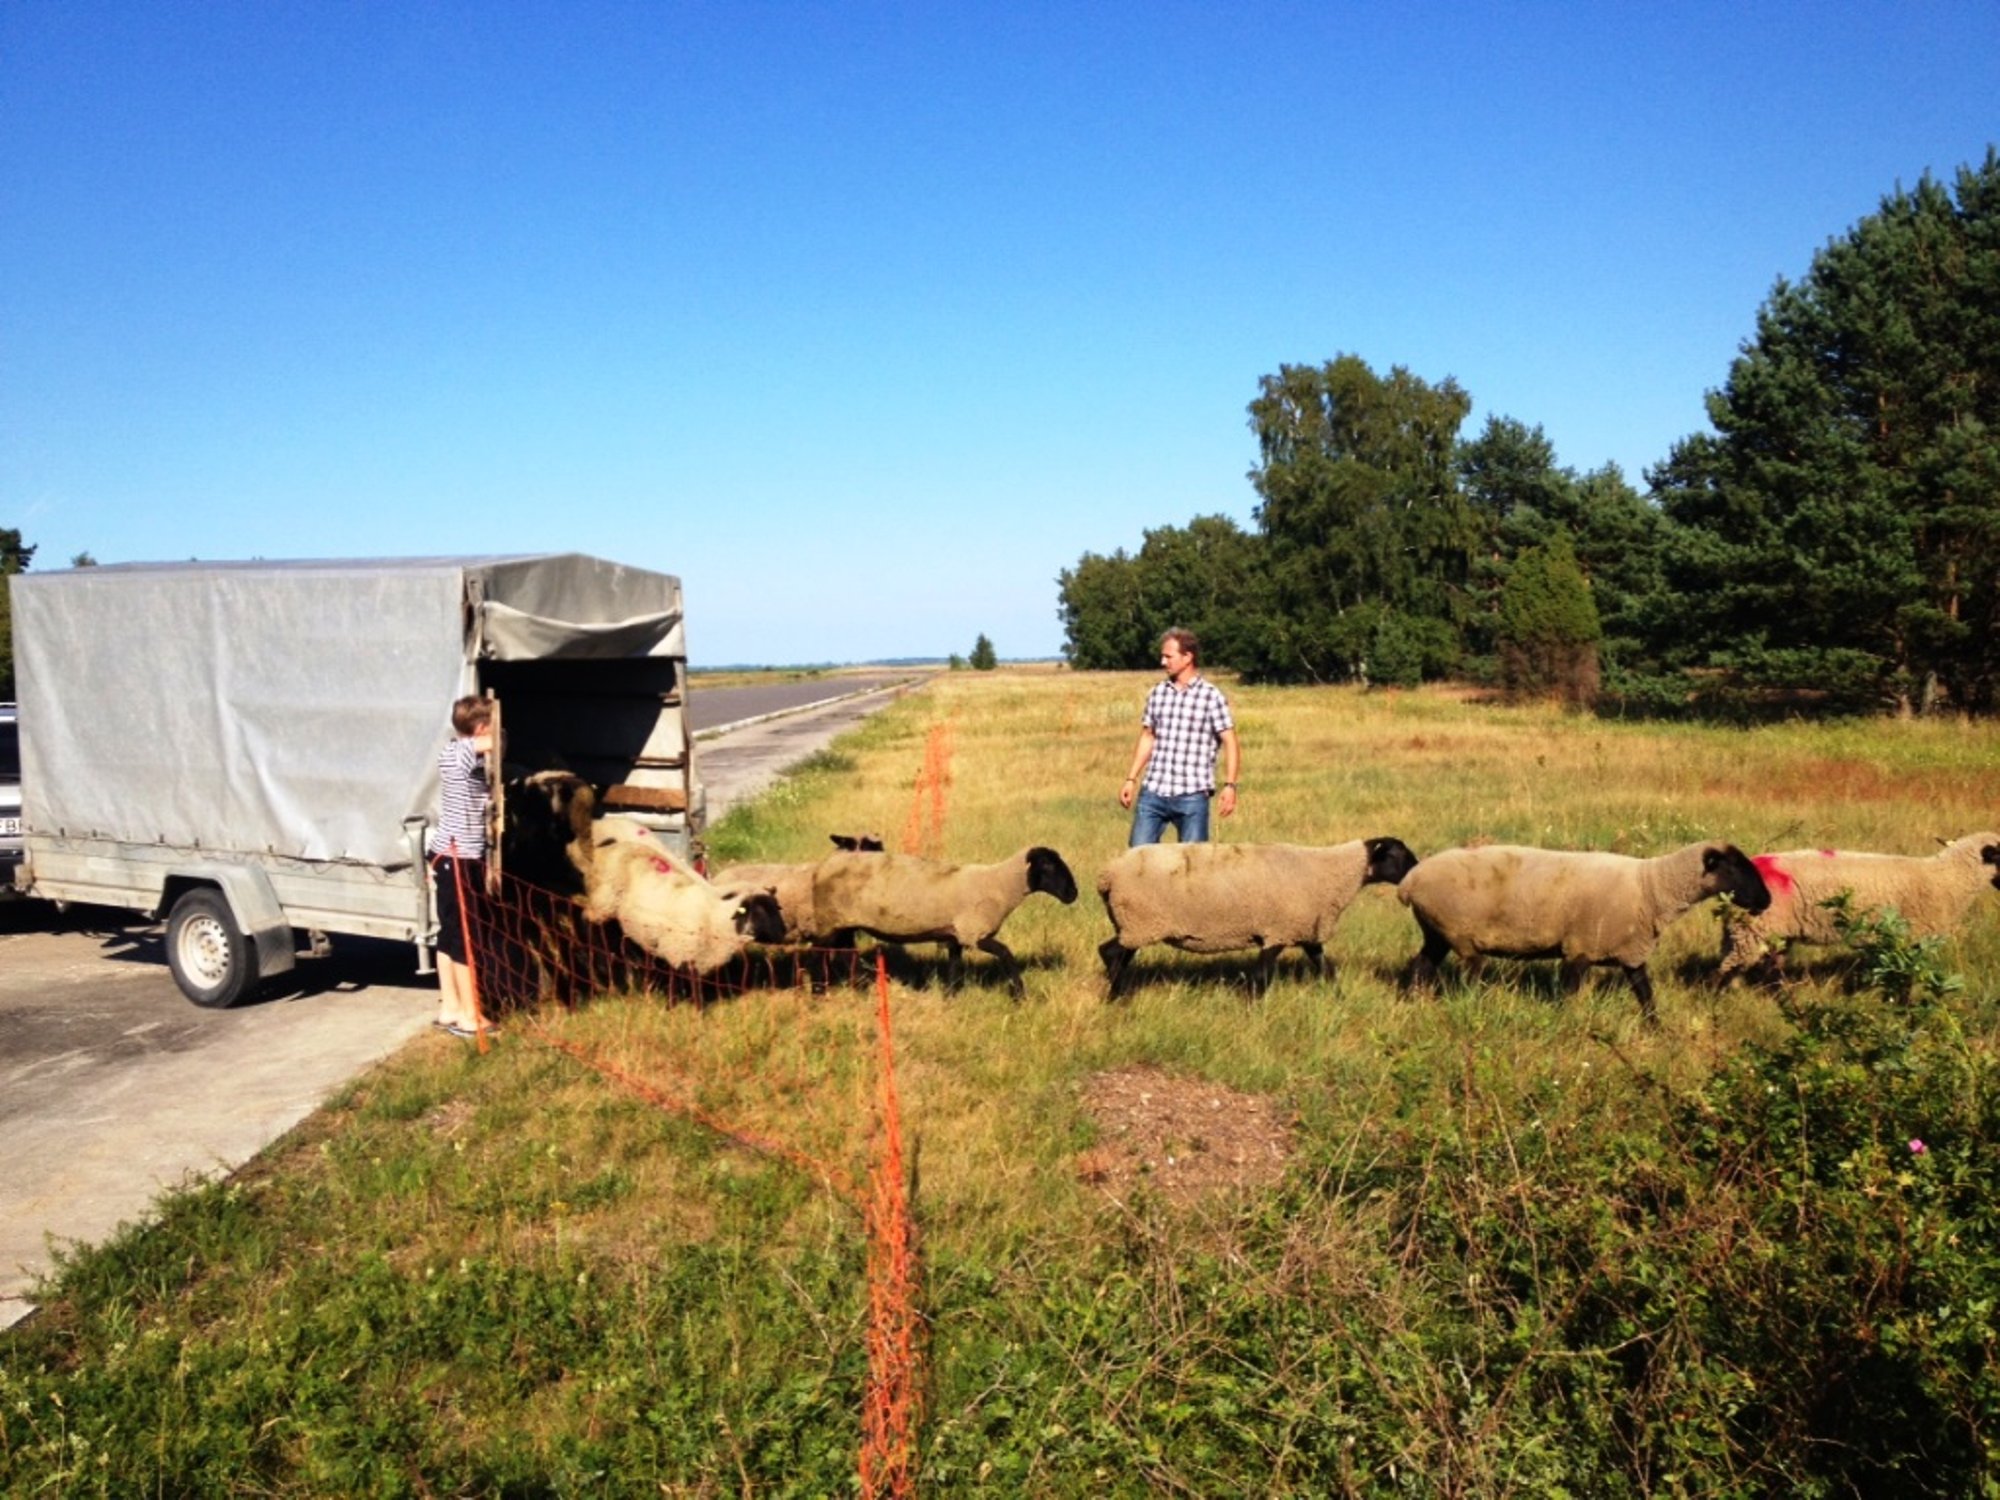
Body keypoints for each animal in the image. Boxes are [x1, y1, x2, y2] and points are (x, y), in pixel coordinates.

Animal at [576, 828, 784, 980]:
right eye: (760, 911)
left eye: (777, 908)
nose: (783, 933)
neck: (715, 917)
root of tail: (609, 845)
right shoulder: (679, 953)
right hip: (603, 902)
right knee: (590, 923)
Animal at [804, 848, 1080, 1000]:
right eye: (1047, 864)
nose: (1073, 894)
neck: (999, 885)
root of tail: (821, 867)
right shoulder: (974, 932)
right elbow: (1006, 954)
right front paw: (1020, 995)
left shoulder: (956, 935)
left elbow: (955, 967)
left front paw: (950, 997)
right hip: (828, 922)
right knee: (818, 955)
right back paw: (818, 993)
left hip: (843, 924)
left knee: (844, 954)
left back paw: (861, 985)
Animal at [1096, 848, 1424, 1000]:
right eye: (1398, 854)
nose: (1420, 870)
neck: (1331, 872)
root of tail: (1108, 874)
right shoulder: (1276, 932)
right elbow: (1262, 977)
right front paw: (1254, 1008)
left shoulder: (1304, 930)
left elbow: (1326, 969)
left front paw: (1339, 999)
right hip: (1139, 922)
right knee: (1112, 953)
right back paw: (1117, 996)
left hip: (1131, 924)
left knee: (1110, 951)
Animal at [1400, 840, 1776, 1032]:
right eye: (1734, 867)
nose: (1767, 901)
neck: (1651, 889)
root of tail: (1410, 883)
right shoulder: (1579, 948)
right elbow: (1569, 995)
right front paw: (1568, 1026)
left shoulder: (1630, 952)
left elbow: (1646, 994)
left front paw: (1657, 1031)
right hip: (1462, 934)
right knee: (1469, 975)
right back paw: (1475, 1008)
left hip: (1436, 932)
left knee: (1421, 965)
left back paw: (1414, 1003)